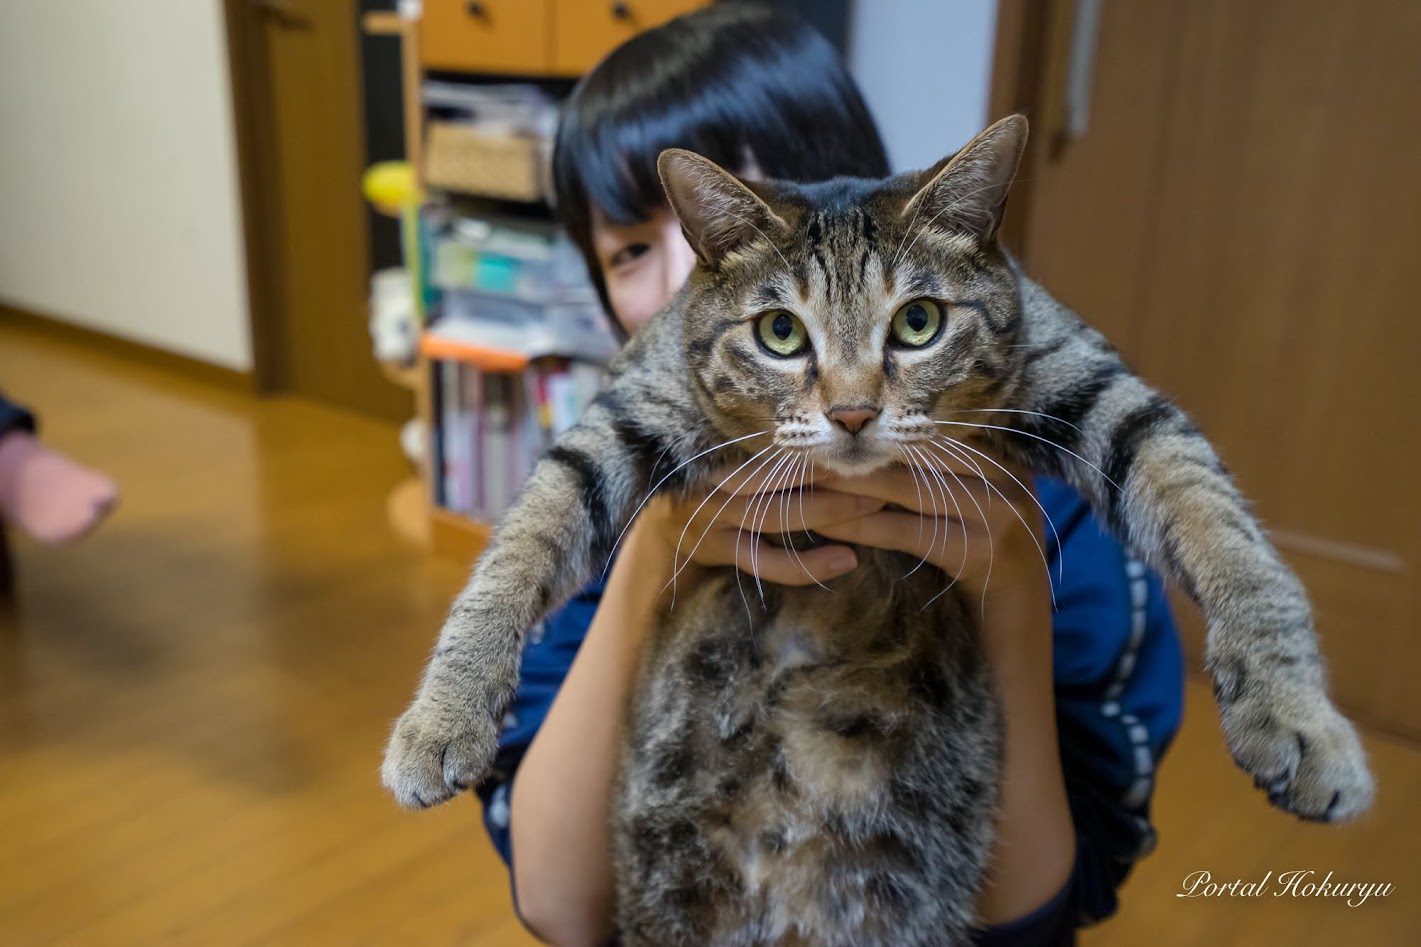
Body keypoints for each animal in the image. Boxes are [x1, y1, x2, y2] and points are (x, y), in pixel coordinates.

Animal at [380, 115, 1375, 944]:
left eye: (919, 322)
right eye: (780, 332)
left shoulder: (1102, 386)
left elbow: (1224, 531)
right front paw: (443, 716)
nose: (854, 411)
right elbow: (519, 545)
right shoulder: (627, 407)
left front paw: (1298, 716)